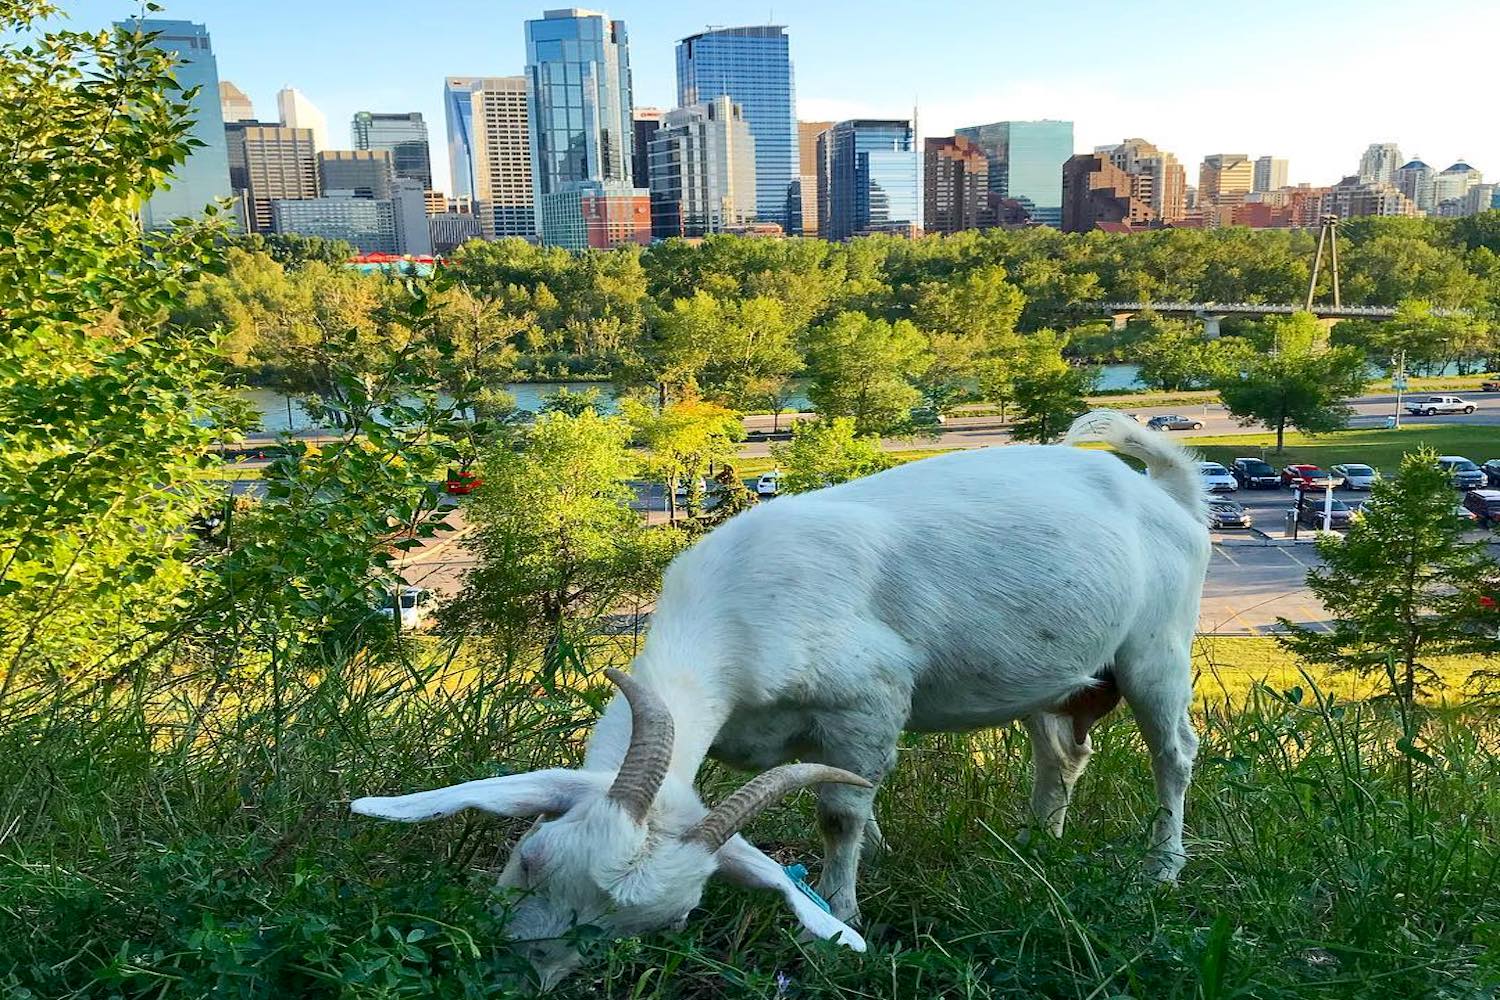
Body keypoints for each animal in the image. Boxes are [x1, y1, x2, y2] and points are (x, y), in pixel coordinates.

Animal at [352, 409, 1210, 989]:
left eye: (662, 925)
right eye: (529, 857)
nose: (517, 976)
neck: (734, 610)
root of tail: (1169, 493)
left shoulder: (869, 701)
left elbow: (840, 813)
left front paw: (843, 910)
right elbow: (857, 805)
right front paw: (870, 866)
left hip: (1157, 646)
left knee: (1174, 753)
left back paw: (1162, 871)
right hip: (1055, 675)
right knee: (1061, 753)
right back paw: (1036, 845)